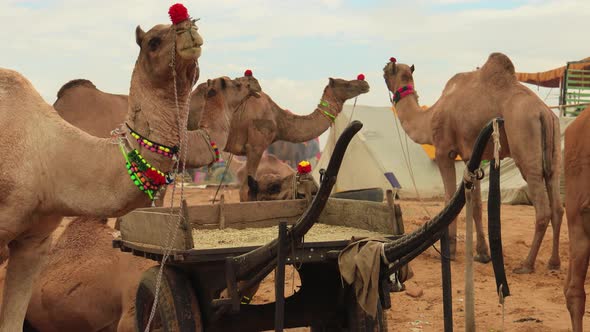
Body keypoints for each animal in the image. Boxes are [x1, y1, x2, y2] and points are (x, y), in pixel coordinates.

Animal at [384, 52, 564, 274]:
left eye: (388, 70)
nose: (384, 67)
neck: (429, 116)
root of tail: (544, 113)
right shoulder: (471, 156)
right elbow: (476, 205)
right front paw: (483, 253)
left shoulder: (444, 151)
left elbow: (449, 198)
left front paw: (451, 250)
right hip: (554, 152)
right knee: (557, 205)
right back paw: (554, 262)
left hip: (525, 146)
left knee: (542, 207)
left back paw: (526, 264)